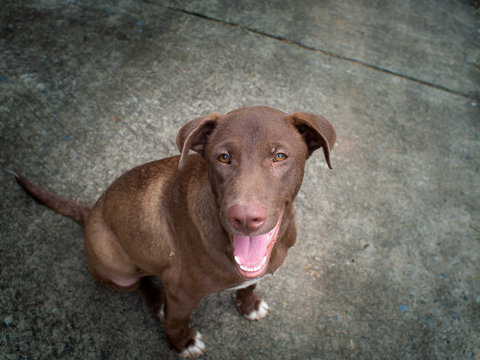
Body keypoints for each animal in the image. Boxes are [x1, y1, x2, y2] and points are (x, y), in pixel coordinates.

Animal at [14, 105, 338, 358]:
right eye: (223, 157)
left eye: (280, 156)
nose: (244, 218)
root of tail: (90, 211)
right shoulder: (181, 291)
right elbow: (175, 322)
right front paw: (182, 343)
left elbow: (249, 284)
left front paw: (248, 305)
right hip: (116, 267)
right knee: (138, 284)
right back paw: (158, 301)